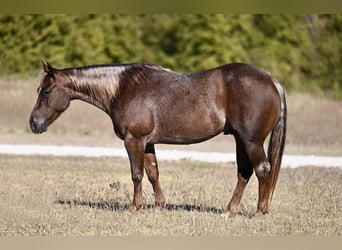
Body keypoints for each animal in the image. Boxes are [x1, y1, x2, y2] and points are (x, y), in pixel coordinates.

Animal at [29, 62, 286, 215]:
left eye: (46, 91)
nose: (34, 123)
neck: (122, 88)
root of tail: (273, 81)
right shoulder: (148, 143)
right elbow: (153, 173)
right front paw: (159, 205)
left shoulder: (134, 140)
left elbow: (136, 174)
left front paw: (135, 207)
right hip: (240, 140)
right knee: (244, 173)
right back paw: (229, 210)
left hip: (251, 142)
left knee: (262, 169)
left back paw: (260, 212)